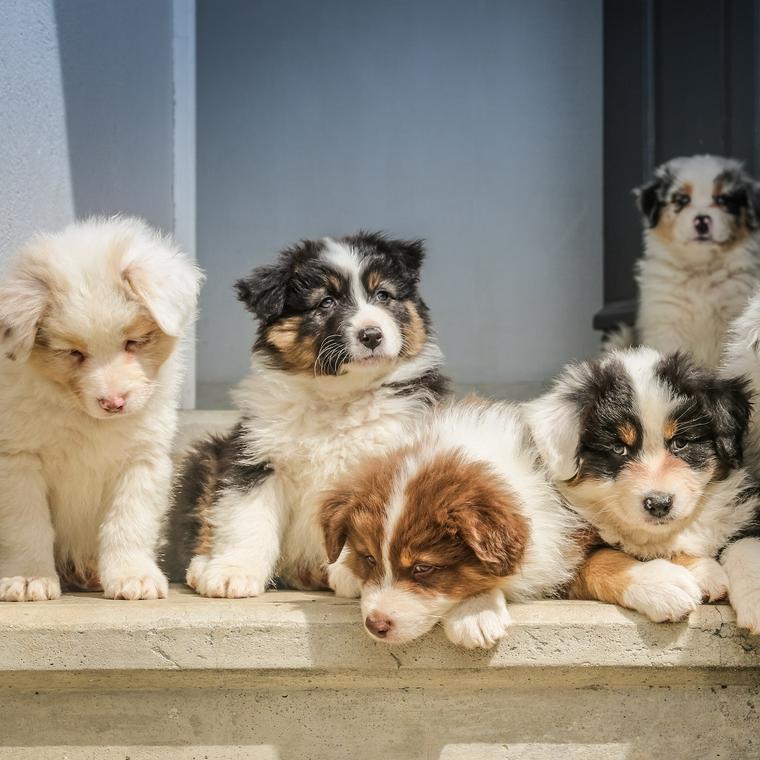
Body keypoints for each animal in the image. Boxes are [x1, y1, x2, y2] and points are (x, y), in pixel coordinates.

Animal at [0, 217, 202, 604]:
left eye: (134, 341)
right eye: (72, 353)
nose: (113, 403)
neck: (87, 421)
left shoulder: (142, 459)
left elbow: (129, 521)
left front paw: (133, 576)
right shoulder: (17, 460)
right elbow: (27, 524)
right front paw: (29, 577)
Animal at [169, 232, 448, 600]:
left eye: (383, 295)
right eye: (325, 302)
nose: (372, 335)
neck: (338, 396)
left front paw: (354, 574)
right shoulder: (256, 459)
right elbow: (246, 518)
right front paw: (234, 572)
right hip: (208, 457)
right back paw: (203, 566)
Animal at [528, 348, 760, 624]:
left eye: (680, 442)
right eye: (619, 449)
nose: (659, 504)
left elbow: (745, 546)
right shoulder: (559, 563)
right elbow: (602, 559)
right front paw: (666, 583)